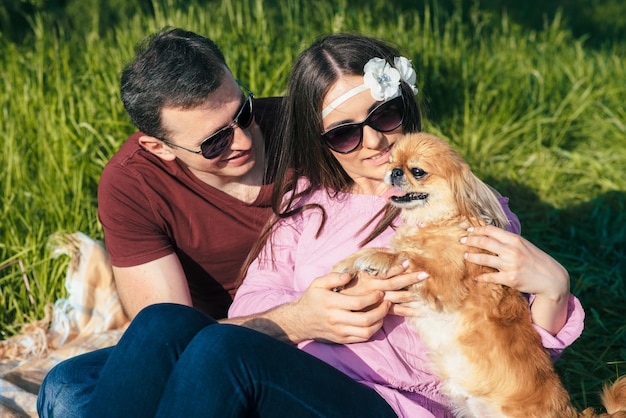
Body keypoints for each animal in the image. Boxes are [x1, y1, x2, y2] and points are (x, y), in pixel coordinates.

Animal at [332, 133, 624, 418]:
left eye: (417, 171)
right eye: (391, 161)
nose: (393, 171)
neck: (438, 222)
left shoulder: (443, 285)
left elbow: (407, 257)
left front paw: (373, 260)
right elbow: (386, 250)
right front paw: (347, 264)